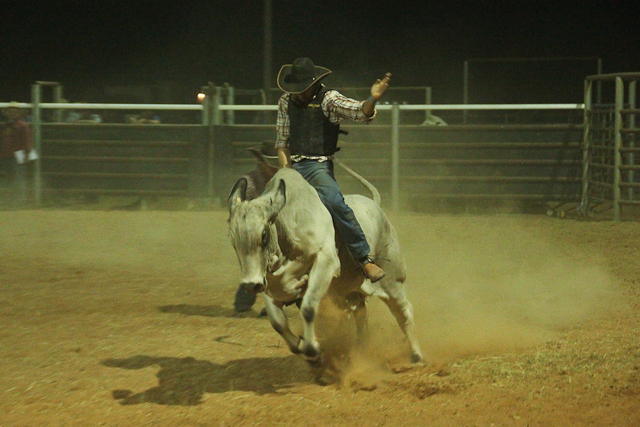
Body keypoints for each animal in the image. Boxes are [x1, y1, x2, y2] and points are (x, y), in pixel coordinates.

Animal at [228, 166, 422, 366]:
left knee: (403, 310)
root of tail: (376, 206)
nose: (251, 284)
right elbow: (277, 322)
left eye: (264, 234)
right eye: (233, 240)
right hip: (348, 290)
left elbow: (308, 309)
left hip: (392, 279)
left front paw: (313, 349)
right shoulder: (269, 282)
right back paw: (361, 349)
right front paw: (302, 345)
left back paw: (416, 354)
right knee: (360, 311)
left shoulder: (325, 261)